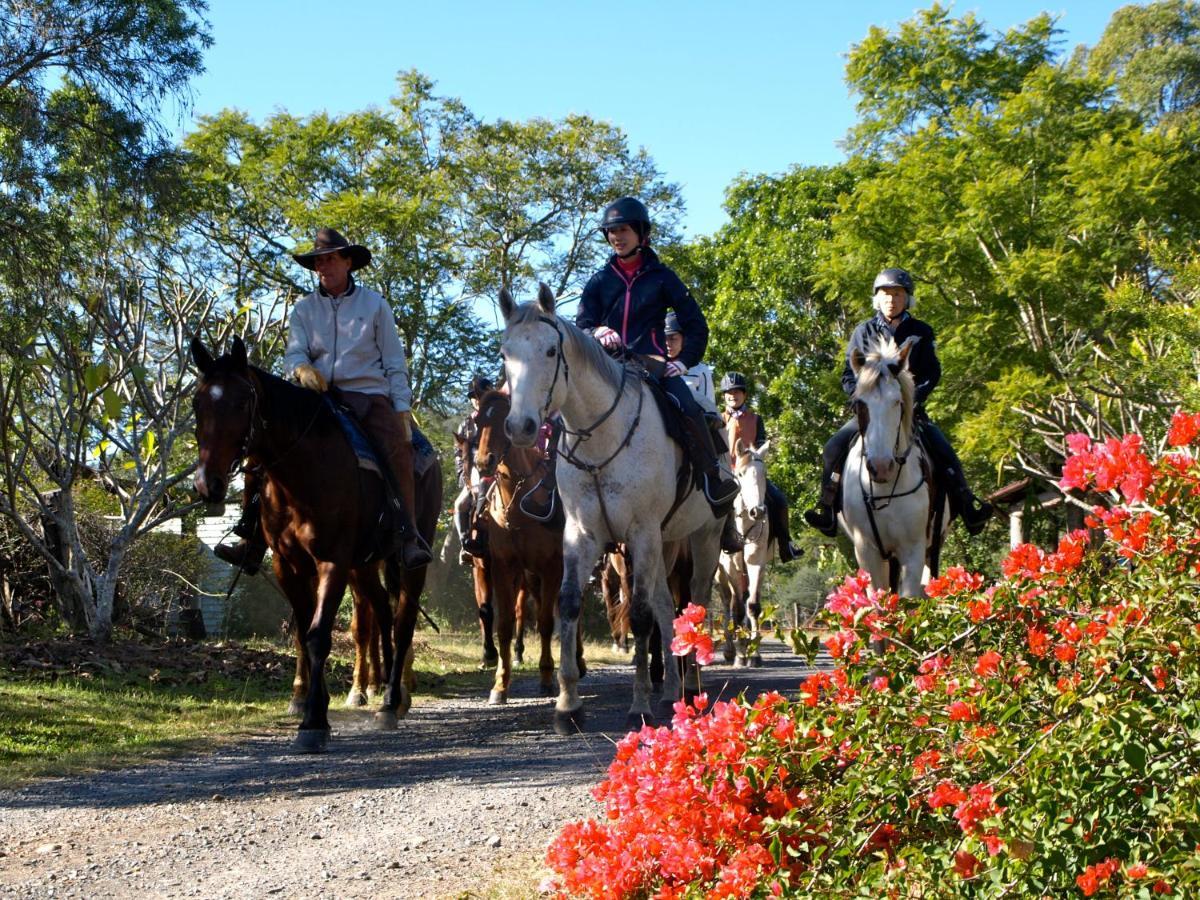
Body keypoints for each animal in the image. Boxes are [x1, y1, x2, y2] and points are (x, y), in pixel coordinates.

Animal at [192, 338, 441, 753]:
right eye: (198, 404)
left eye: (241, 403)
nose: (206, 483)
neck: (301, 475)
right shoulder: (289, 565)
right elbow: (303, 632)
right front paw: (313, 708)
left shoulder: (331, 562)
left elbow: (318, 636)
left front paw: (312, 722)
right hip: (364, 566)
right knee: (382, 613)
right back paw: (384, 694)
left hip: (410, 562)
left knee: (403, 622)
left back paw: (392, 702)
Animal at [470, 391, 583, 710]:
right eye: (478, 420)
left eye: (503, 420)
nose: (483, 462)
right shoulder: (502, 566)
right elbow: (505, 624)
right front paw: (500, 685)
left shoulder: (552, 567)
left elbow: (545, 622)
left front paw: (546, 677)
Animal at [499, 285, 720, 734]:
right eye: (504, 352)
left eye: (551, 350)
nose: (520, 427)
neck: (603, 437)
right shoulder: (582, 534)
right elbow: (568, 604)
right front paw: (568, 706)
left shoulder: (641, 532)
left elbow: (639, 616)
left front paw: (639, 707)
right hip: (664, 544)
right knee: (667, 607)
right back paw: (672, 691)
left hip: (703, 540)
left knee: (695, 605)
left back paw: (690, 687)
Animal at [715, 441, 772, 667]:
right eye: (740, 473)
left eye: (764, 473)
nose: (758, 511)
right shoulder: (731, 566)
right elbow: (737, 608)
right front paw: (740, 655)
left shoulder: (757, 562)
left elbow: (753, 605)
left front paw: (755, 655)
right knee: (727, 603)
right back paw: (731, 651)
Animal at [840, 333, 950, 600]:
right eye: (860, 404)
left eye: (898, 402)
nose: (881, 467)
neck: (884, 490)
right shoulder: (866, 551)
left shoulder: (913, 550)